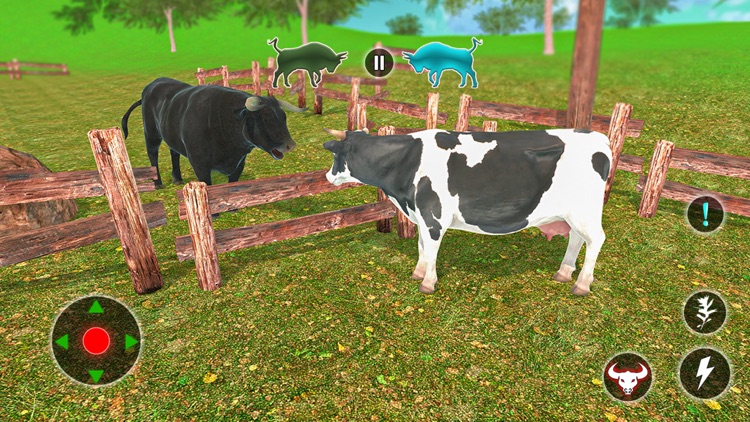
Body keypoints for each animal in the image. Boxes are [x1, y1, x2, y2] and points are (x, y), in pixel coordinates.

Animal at [122, 77, 306, 187]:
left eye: (284, 117)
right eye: (266, 119)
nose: (290, 145)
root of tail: (153, 84)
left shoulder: (239, 162)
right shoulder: (199, 163)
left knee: (174, 153)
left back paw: (178, 179)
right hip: (151, 133)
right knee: (153, 154)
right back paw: (158, 183)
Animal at [323, 128, 611, 296]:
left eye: (336, 156)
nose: (327, 176)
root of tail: (598, 136)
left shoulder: (433, 215)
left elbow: (431, 249)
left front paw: (427, 283)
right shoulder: (420, 215)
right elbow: (421, 246)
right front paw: (418, 272)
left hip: (584, 212)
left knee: (596, 239)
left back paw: (581, 284)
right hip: (574, 213)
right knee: (576, 238)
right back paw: (563, 272)